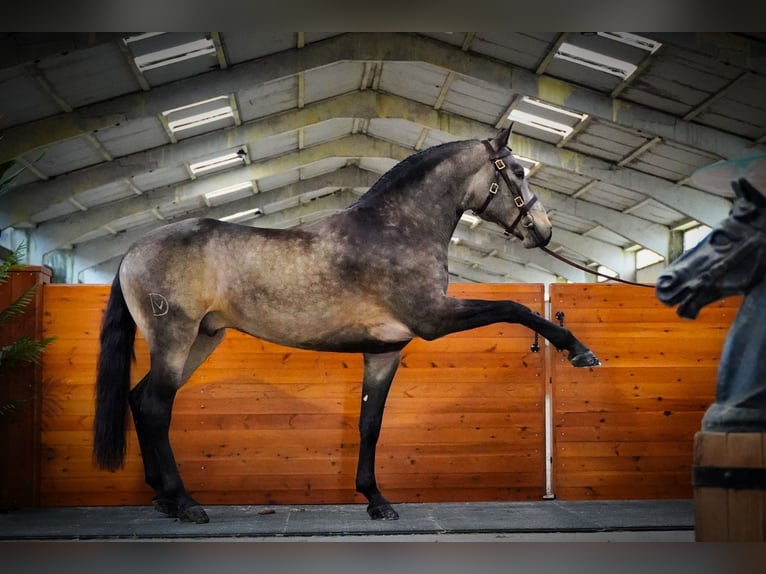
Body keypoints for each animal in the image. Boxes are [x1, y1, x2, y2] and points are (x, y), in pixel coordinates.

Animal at [93, 127, 600, 524]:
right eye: (517, 171)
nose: (544, 230)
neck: (397, 230)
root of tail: (134, 251)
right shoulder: (434, 317)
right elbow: (516, 307)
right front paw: (578, 350)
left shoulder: (384, 350)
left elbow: (369, 423)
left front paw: (376, 500)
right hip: (175, 338)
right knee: (156, 407)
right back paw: (185, 503)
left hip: (201, 340)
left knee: (140, 399)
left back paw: (163, 499)